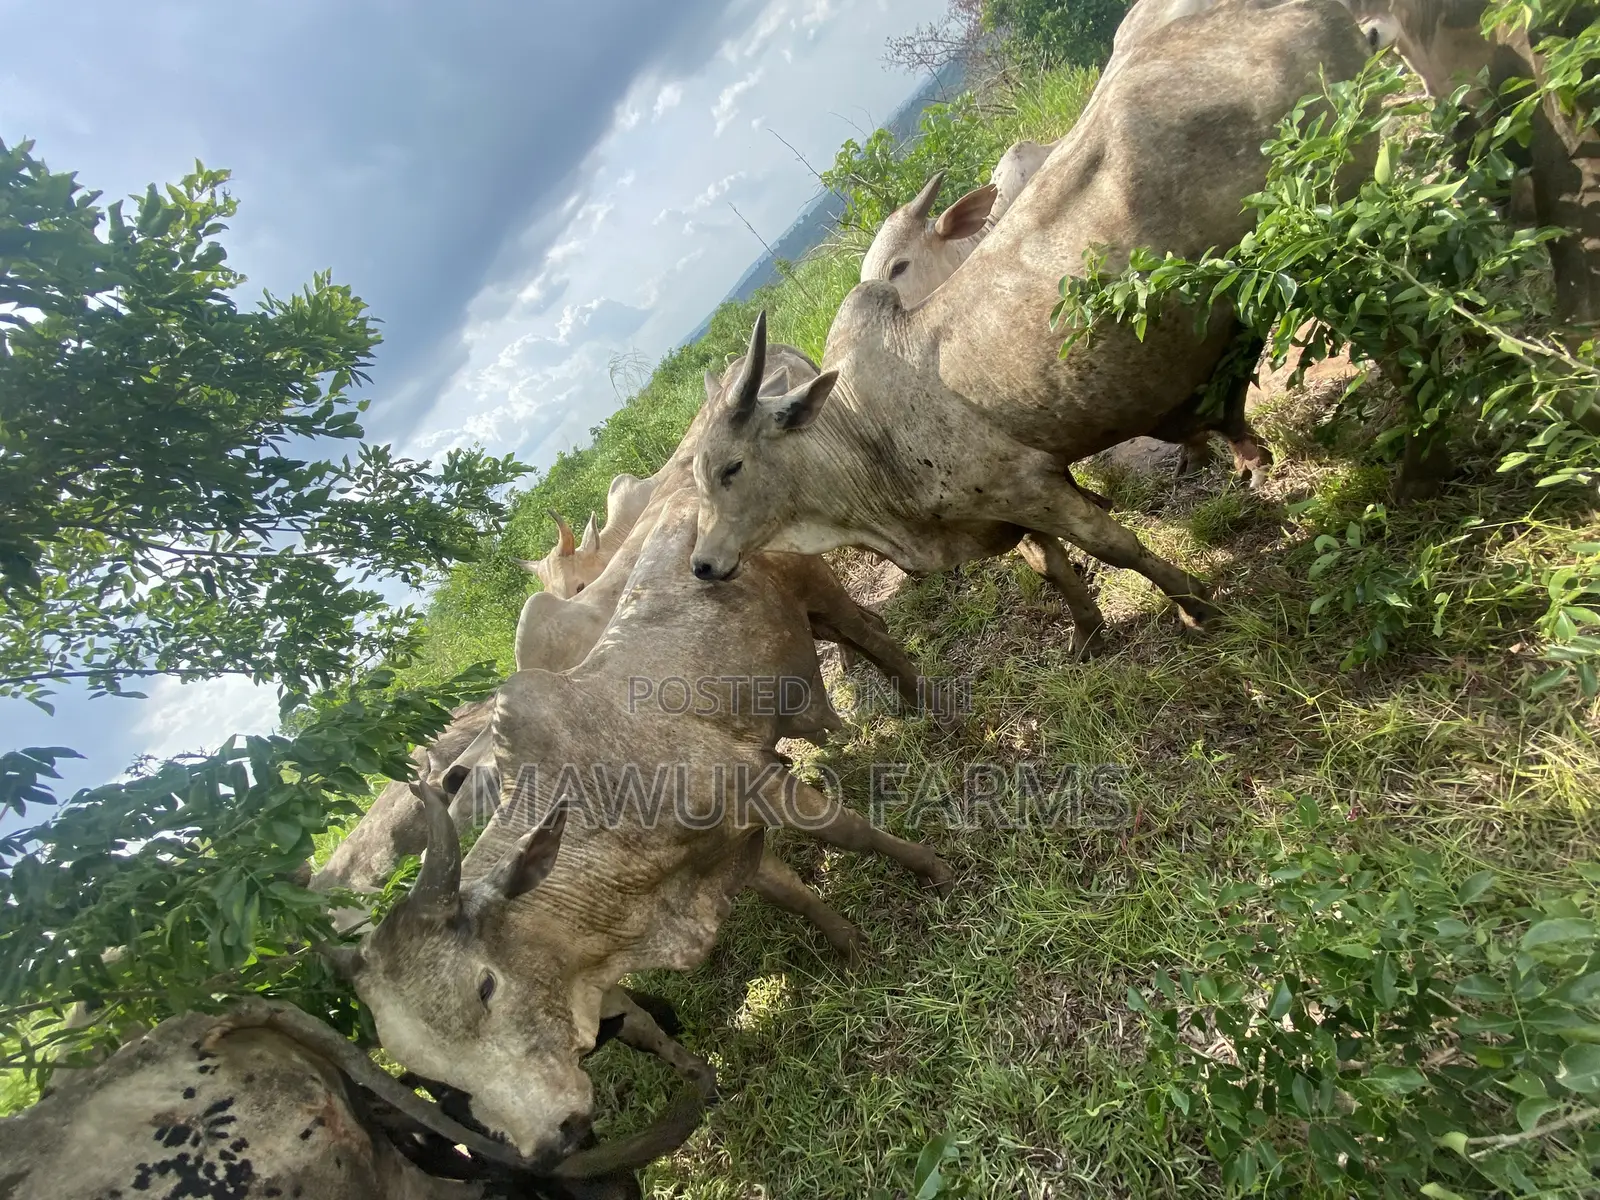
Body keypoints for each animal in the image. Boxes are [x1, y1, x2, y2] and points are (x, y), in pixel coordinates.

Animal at [337, 487, 954, 1164]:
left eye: (485, 987)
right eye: (431, 1072)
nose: (548, 1142)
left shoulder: (759, 787)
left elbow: (853, 834)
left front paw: (937, 873)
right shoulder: (721, 853)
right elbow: (793, 896)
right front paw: (855, 951)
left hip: (822, 593)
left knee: (876, 638)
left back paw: (932, 708)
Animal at [687, 0, 1373, 648]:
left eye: (731, 468)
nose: (701, 564)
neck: (868, 436)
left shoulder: (1031, 484)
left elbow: (1113, 545)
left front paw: (1194, 603)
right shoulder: (1004, 511)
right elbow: (1053, 567)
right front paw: (1089, 633)